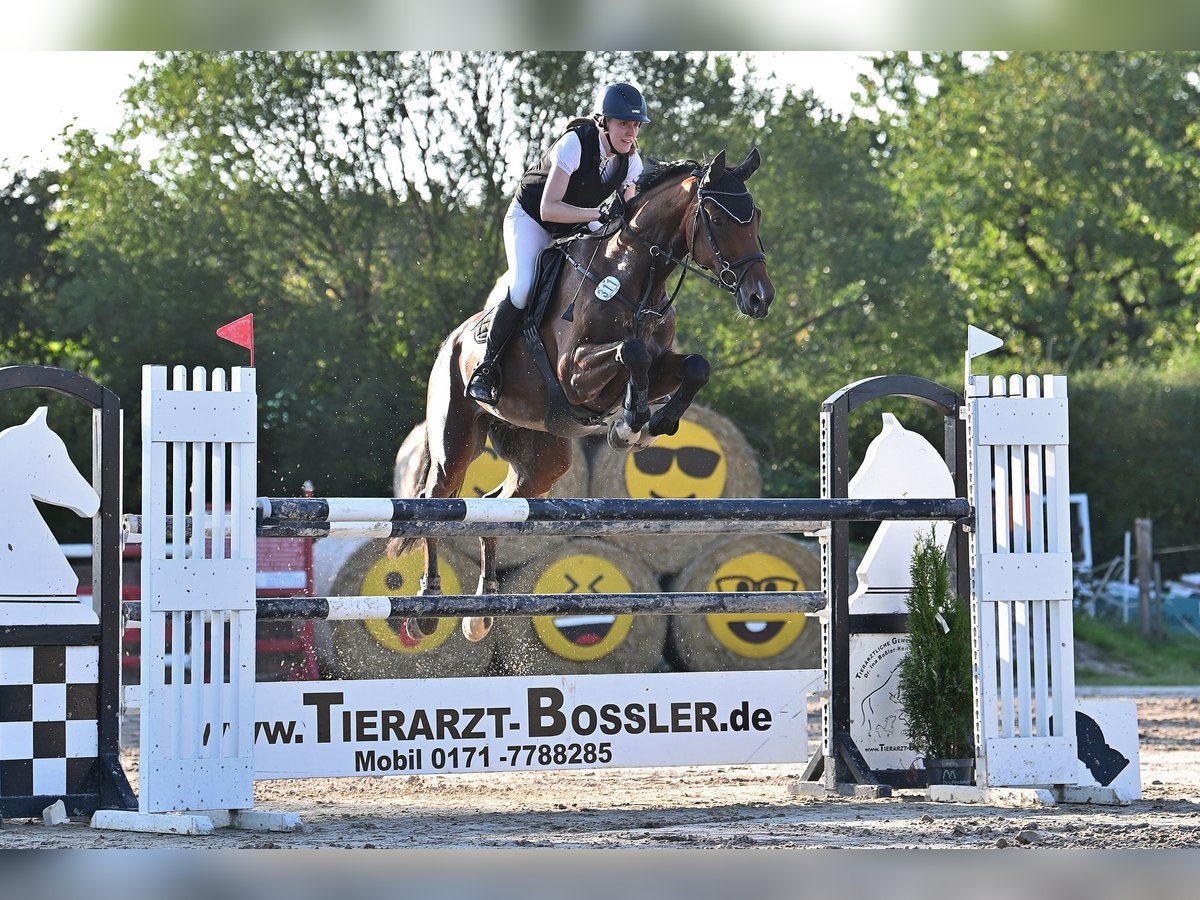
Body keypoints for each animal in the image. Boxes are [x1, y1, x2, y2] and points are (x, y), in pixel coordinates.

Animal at [388, 146, 772, 643]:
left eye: (755, 216)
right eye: (719, 219)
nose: (761, 298)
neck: (634, 278)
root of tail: (450, 343)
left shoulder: (658, 366)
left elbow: (694, 366)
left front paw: (653, 424)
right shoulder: (573, 373)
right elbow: (631, 352)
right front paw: (630, 425)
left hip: (543, 454)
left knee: (493, 507)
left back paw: (482, 611)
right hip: (455, 443)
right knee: (436, 502)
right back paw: (427, 607)